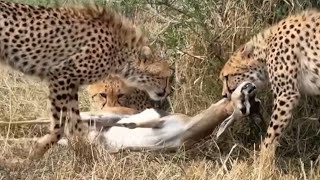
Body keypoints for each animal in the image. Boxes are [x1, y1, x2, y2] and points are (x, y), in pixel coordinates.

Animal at [0, 1, 172, 159]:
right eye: (163, 76)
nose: (167, 92)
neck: (119, 50)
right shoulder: (60, 75)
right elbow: (59, 126)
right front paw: (38, 150)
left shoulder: (70, 83)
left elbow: (75, 120)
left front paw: (88, 143)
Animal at [220, 9, 320, 152]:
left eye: (227, 77)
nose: (224, 95)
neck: (265, 48)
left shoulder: (286, 94)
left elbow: (271, 133)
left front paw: (263, 156)